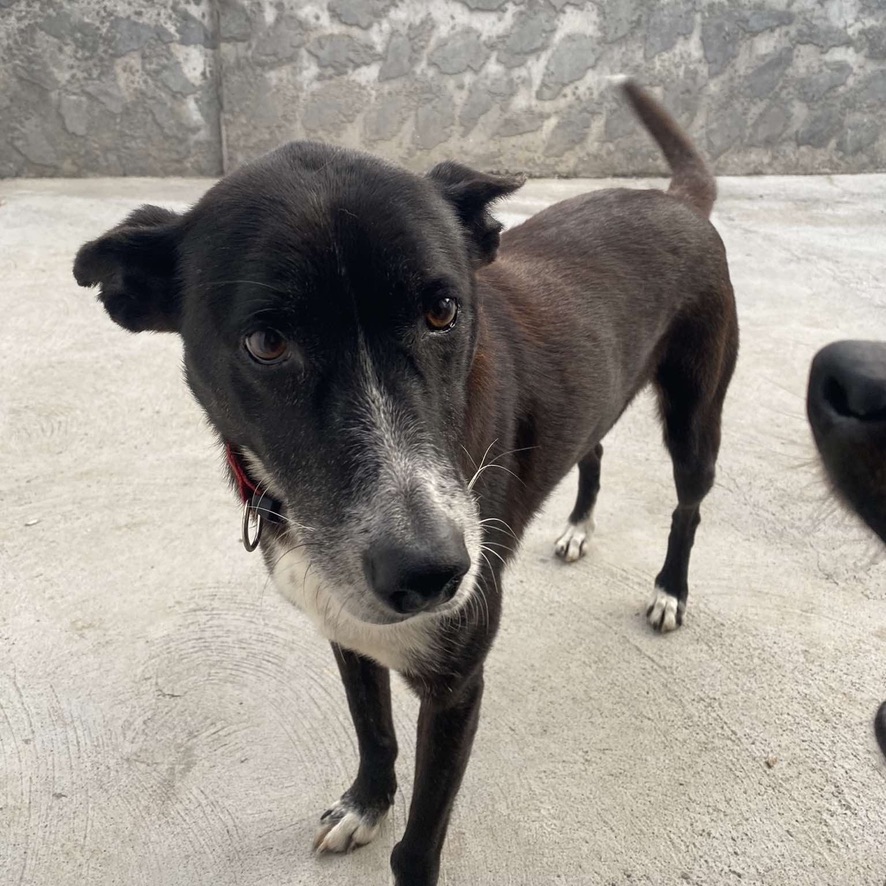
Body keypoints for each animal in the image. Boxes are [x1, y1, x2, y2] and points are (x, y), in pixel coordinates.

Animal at [74, 80, 744, 884]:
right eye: (265, 342)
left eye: (443, 309)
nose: (431, 573)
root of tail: (677, 201)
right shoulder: (346, 628)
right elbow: (374, 731)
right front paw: (366, 803)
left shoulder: (457, 683)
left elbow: (421, 839)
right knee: (596, 449)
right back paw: (578, 526)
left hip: (696, 415)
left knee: (688, 505)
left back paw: (671, 590)